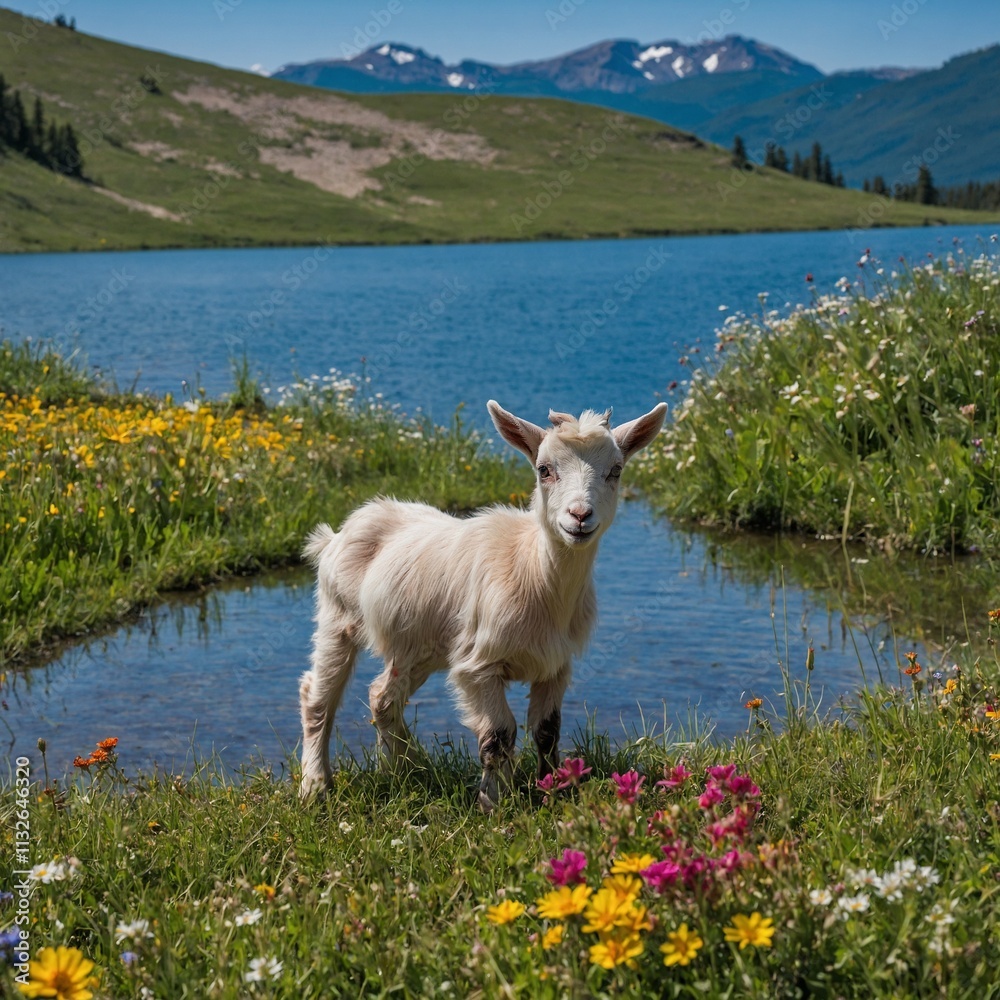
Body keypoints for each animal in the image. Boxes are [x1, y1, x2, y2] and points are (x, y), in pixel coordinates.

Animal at [298, 399, 667, 811]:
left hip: (417, 644)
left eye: (615, 470)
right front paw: (493, 803)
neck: (536, 574)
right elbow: (499, 734)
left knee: (381, 697)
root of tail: (337, 533)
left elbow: (547, 729)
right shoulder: (478, 665)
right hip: (337, 616)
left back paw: (404, 771)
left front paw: (551, 789)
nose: (579, 516)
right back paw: (315, 785)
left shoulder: (555, 665)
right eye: (544, 469)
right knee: (317, 697)